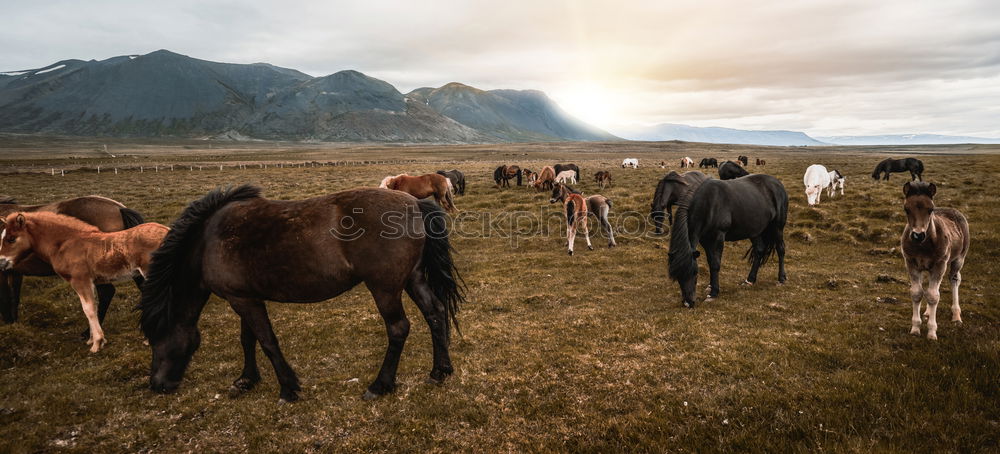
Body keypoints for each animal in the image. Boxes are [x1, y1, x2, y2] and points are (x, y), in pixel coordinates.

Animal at [0, 196, 145, 326]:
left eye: (11, 238)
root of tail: (119, 208)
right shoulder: (14, 272)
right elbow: (14, 297)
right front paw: (14, 321)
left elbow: (5, 298)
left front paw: (8, 323)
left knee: (107, 293)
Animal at [0, 212, 168, 352]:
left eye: (11, 239)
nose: (1, 262)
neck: (65, 244)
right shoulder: (90, 281)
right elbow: (92, 306)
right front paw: (92, 339)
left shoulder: (80, 280)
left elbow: (88, 309)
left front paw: (97, 343)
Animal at [139, 184, 466, 400]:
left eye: (156, 337)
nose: (158, 384)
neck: (207, 241)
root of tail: (414, 203)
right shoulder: (244, 296)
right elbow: (248, 340)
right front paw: (246, 379)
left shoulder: (242, 300)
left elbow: (267, 341)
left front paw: (288, 387)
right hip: (413, 279)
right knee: (435, 313)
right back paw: (439, 371)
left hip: (385, 288)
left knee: (399, 328)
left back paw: (379, 386)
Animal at [664, 176, 788, 306]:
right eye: (678, 277)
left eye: (695, 273)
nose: (688, 303)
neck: (709, 204)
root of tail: (777, 183)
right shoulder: (705, 240)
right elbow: (710, 261)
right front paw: (710, 286)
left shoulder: (718, 236)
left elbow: (715, 263)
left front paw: (713, 293)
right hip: (755, 231)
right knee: (759, 250)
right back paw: (750, 280)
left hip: (777, 227)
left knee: (781, 249)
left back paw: (781, 279)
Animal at [900, 183, 968, 338]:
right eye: (906, 209)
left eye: (930, 209)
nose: (918, 235)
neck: (922, 246)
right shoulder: (911, 263)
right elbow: (917, 293)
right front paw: (915, 328)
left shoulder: (939, 264)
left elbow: (933, 296)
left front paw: (931, 332)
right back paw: (927, 312)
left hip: (958, 260)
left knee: (954, 279)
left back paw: (956, 316)